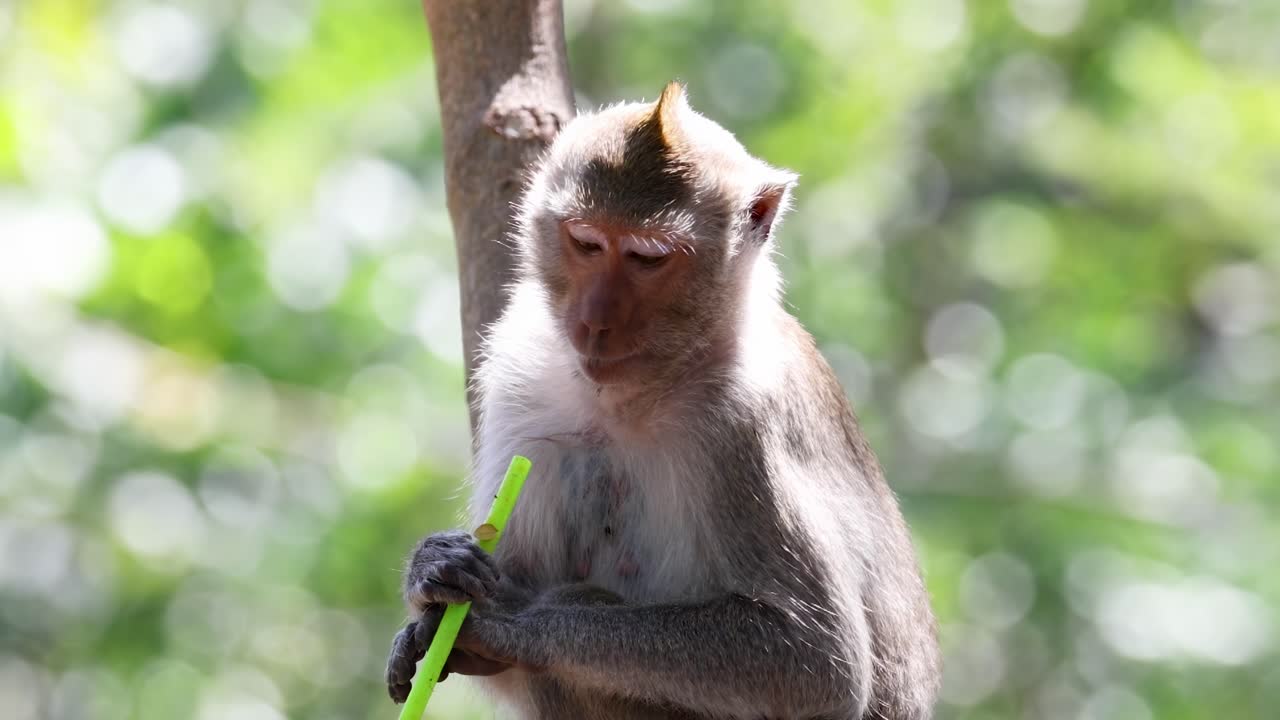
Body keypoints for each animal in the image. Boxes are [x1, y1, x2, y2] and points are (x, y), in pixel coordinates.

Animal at [385, 82, 940, 720]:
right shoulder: (519, 372)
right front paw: (433, 573)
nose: (596, 322)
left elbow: (817, 664)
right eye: (586, 242)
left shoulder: (746, 424)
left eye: (648, 258)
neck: (635, 394)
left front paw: (513, 620)